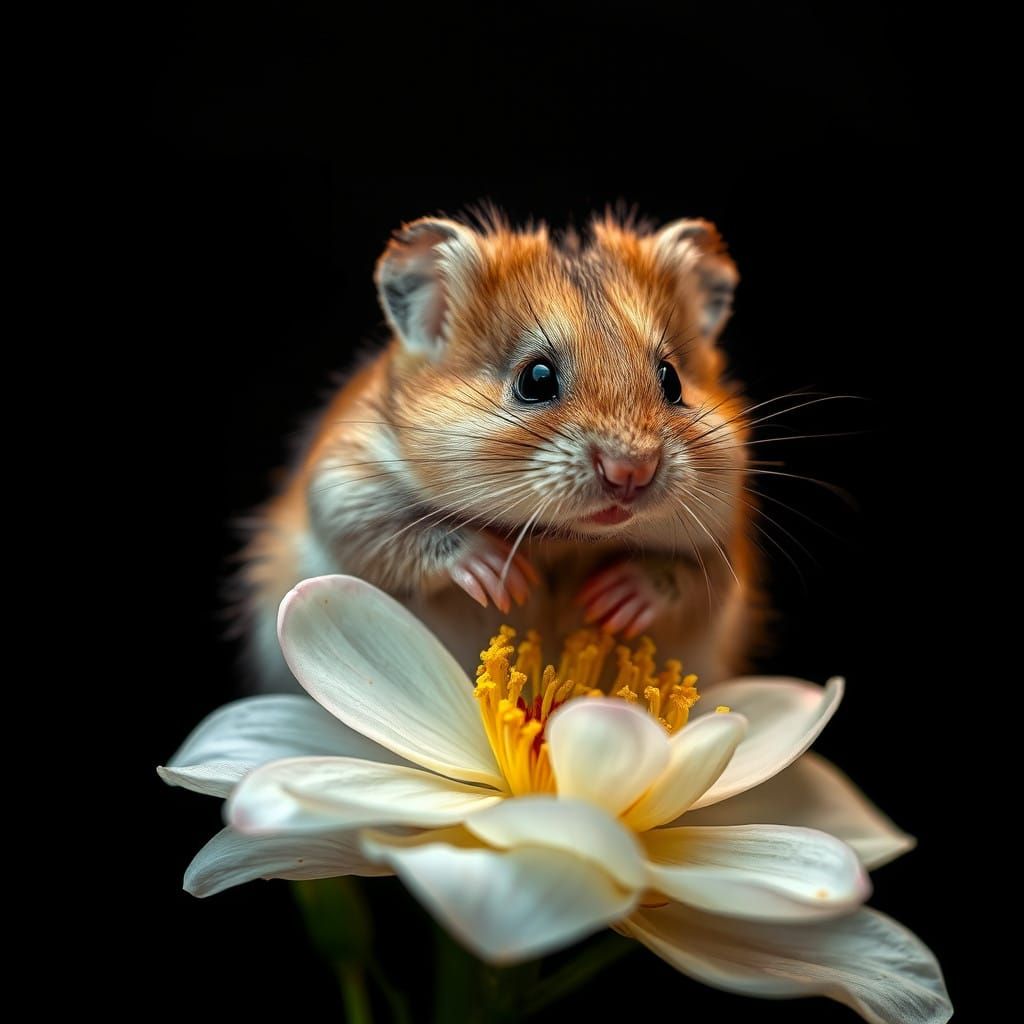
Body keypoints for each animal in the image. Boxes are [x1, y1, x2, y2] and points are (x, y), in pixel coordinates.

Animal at [239, 211, 757, 692]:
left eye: (672, 381)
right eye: (536, 379)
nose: (631, 472)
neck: (564, 538)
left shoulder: (723, 550)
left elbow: (687, 578)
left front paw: (610, 601)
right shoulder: (347, 491)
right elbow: (404, 533)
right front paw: (506, 581)